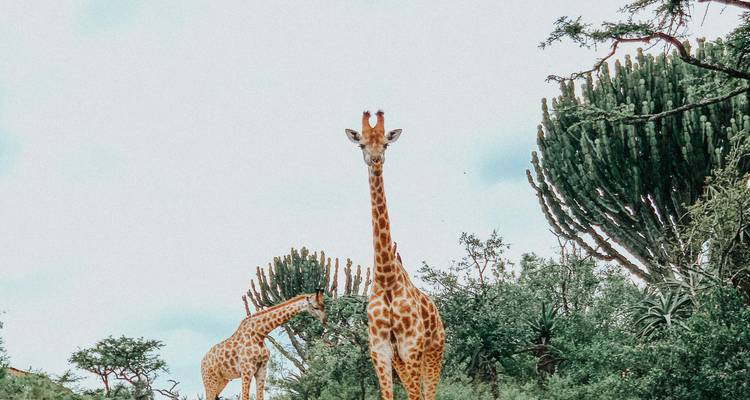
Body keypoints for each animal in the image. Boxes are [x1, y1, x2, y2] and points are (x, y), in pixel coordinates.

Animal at [345, 110, 445, 400]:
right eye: (361, 144)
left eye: (386, 144)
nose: (376, 161)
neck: (387, 278)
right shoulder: (380, 351)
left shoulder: (411, 346)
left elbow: (415, 396)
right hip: (404, 360)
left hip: (433, 353)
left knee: (428, 394)